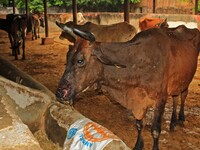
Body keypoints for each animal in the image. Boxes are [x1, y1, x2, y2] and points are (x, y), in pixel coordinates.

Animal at [55, 25, 200, 149]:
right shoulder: (138, 102)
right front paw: (138, 145)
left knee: (182, 96)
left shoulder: (161, 99)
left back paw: (179, 118)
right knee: (175, 97)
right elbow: (139, 125)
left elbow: (155, 130)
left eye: (80, 60)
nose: (60, 93)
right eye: (67, 57)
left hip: (185, 80)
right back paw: (173, 121)